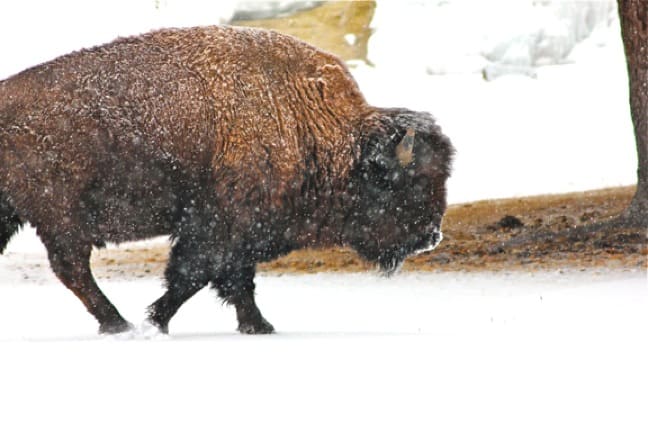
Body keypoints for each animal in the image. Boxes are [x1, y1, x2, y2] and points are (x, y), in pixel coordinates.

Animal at [0, 26, 453, 334]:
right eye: (408, 182)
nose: (432, 237)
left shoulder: (241, 234)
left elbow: (235, 282)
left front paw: (259, 327)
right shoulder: (218, 228)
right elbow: (194, 276)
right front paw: (156, 322)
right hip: (61, 217)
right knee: (72, 268)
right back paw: (118, 324)